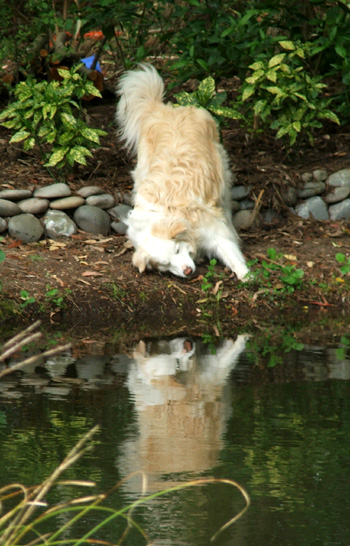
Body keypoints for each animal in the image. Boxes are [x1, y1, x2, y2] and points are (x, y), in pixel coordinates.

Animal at [116, 64, 247, 280]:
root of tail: (163, 108)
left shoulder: (215, 235)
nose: (187, 271)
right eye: (165, 264)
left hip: (222, 172)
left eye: (177, 249)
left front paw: (247, 275)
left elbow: (232, 255)